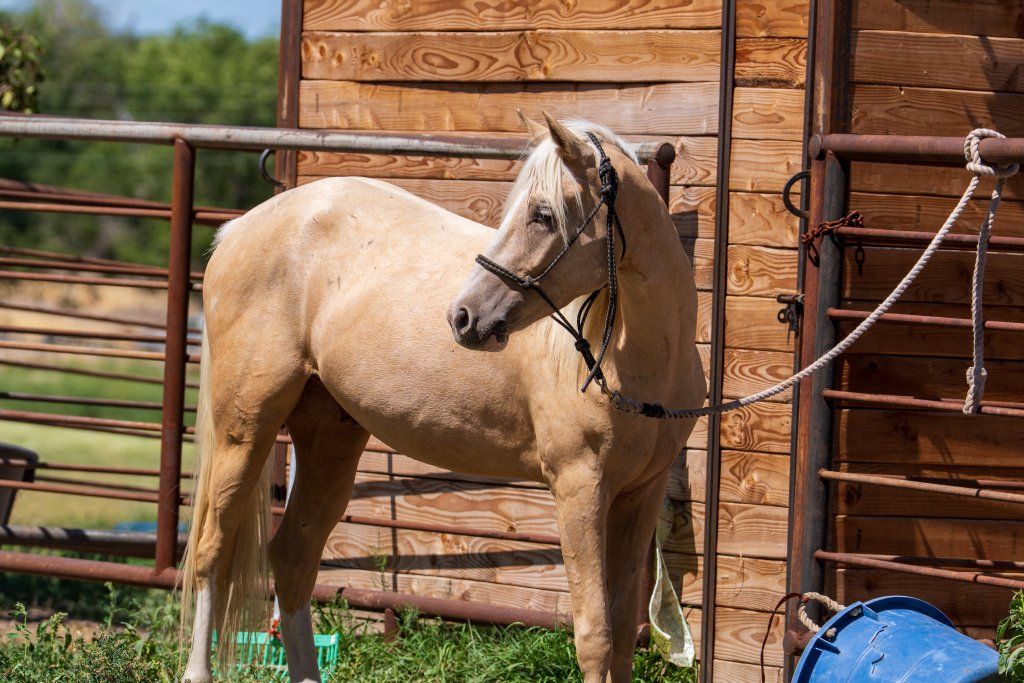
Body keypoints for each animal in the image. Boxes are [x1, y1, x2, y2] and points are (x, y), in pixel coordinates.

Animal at [180, 112, 706, 683]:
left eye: (543, 215)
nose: (463, 316)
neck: (636, 361)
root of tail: (237, 229)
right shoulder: (579, 488)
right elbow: (595, 637)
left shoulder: (638, 494)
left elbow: (623, 633)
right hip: (244, 429)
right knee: (211, 550)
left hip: (328, 442)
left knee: (293, 559)